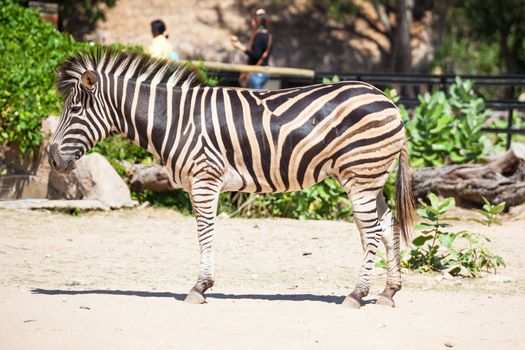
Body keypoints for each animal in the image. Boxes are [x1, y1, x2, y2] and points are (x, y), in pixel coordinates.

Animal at [51, 47, 416, 308]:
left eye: (74, 111)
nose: (53, 158)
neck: (175, 120)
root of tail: (388, 100)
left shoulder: (204, 178)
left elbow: (205, 233)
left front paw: (200, 287)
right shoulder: (202, 183)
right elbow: (206, 232)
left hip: (360, 175)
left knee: (371, 230)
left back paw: (357, 294)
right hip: (371, 178)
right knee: (387, 224)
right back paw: (388, 292)